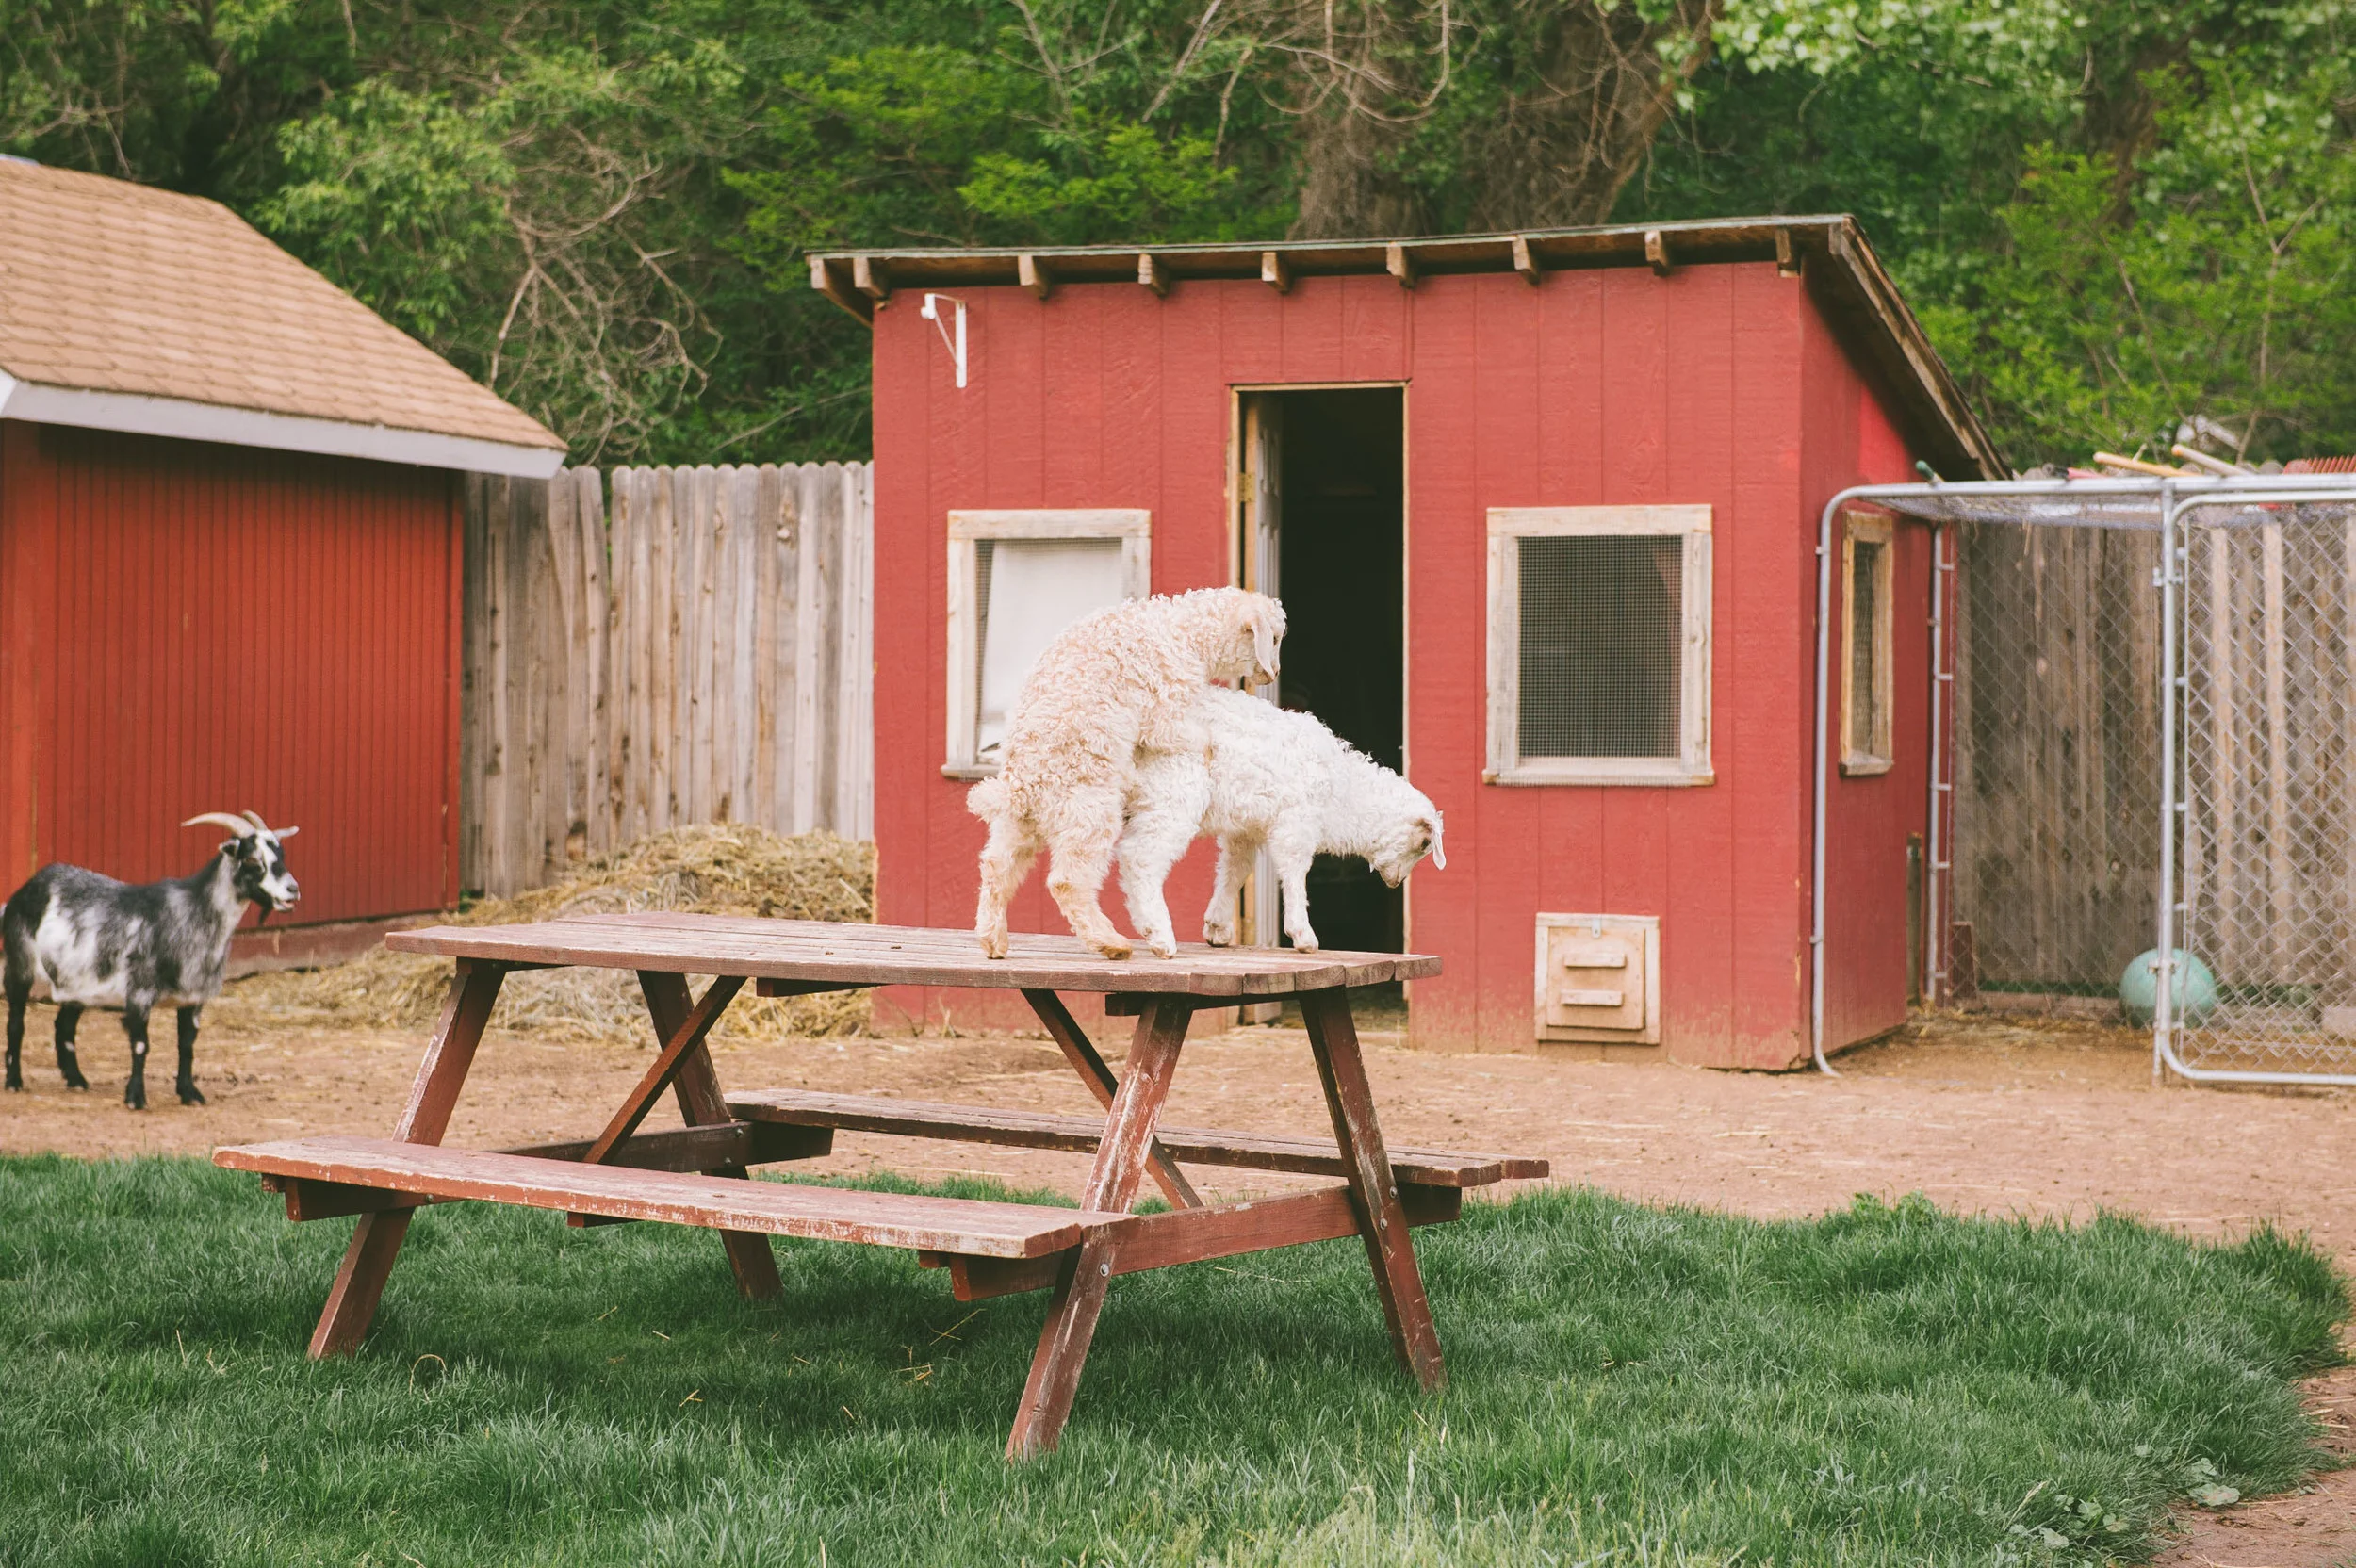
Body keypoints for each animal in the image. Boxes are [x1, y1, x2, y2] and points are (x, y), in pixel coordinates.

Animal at [4, 811, 300, 1109]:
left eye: (281, 854)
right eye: (252, 860)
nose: (293, 889)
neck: (191, 913)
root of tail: (27, 888)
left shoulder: (193, 999)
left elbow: (187, 1045)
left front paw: (190, 1093)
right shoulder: (139, 994)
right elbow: (141, 1045)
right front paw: (136, 1098)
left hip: (77, 982)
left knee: (64, 1025)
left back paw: (76, 1080)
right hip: (20, 964)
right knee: (16, 1023)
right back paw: (14, 1081)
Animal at [970, 586, 1285, 959]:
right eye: (1274, 638)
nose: (1274, 673)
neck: (1182, 632)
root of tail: (1020, 788)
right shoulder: (1165, 708)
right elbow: (1183, 734)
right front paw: (1208, 749)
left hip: (1017, 825)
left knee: (996, 867)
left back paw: (994, 941)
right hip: (1091, 811)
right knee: (1067, 881)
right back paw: (1111, 943)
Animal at [1116, 687, 1443, 958]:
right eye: (1423, 843)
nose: (1396, 881)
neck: (1343, 791)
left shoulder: (1244, 829)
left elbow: (1235, 870)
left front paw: (1217, 927)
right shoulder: (1296, 822)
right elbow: (1295, 869)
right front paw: (1303, 935)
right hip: (1173, 793)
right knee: (1140, 858)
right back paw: (1158, 936)